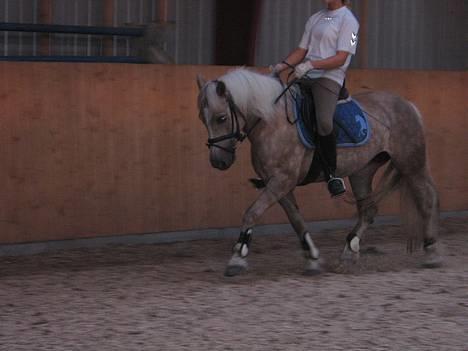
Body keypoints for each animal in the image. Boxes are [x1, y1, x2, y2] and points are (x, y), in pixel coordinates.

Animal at [195, 68, 442, 278]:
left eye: (221, 118)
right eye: (202, 119)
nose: (219, 161)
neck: (272, 122)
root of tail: (408, 104)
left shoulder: (282, 181)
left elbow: (251, 213)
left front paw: (237, 258)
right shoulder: (278, 183)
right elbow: (296, 220)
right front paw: (312, 259)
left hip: (412, 164)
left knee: (427, 199)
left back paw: (431, 253)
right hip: (362, 171)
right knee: (368, 211)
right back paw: (348, 253)